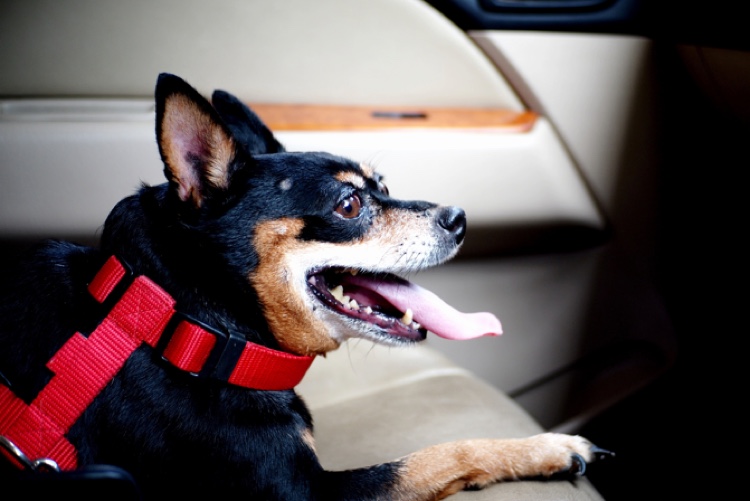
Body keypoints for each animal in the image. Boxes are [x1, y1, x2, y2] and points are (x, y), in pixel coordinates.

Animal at [0, 72, 612, 498]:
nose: (459, 218)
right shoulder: (309, 492)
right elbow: (439, 453)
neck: (185, 323)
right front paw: (547, 448)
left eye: (382, 185)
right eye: (350, 204)